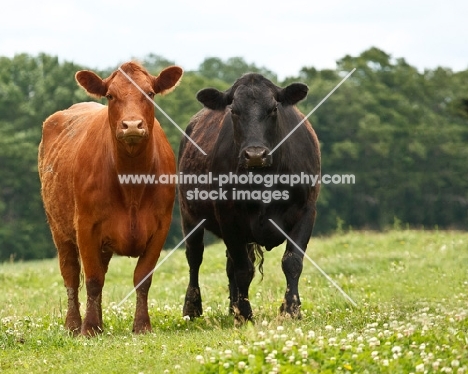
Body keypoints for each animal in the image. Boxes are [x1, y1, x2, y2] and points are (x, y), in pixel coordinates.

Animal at [38, 61, 183, 336]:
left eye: (150, 93)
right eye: (110, 96)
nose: (132, 125)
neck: (132, 182)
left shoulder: (161, 226)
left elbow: (142, 278)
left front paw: (142, 325)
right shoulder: (85, 226)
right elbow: (93, 279)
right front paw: (89, 328)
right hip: (58, 229)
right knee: (70, 273)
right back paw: (74, 324)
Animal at [177, 74, 320, 324]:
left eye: (274, 108)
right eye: (234, 110)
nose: (255, 155)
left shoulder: (306, 210)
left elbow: (292, 261)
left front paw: (291, 310)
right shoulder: (228, 216)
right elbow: (244, 269)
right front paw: (245, 314)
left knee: (229, 265)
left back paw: (232, 307)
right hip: (189, 215)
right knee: (195, 257)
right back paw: (192, 308)